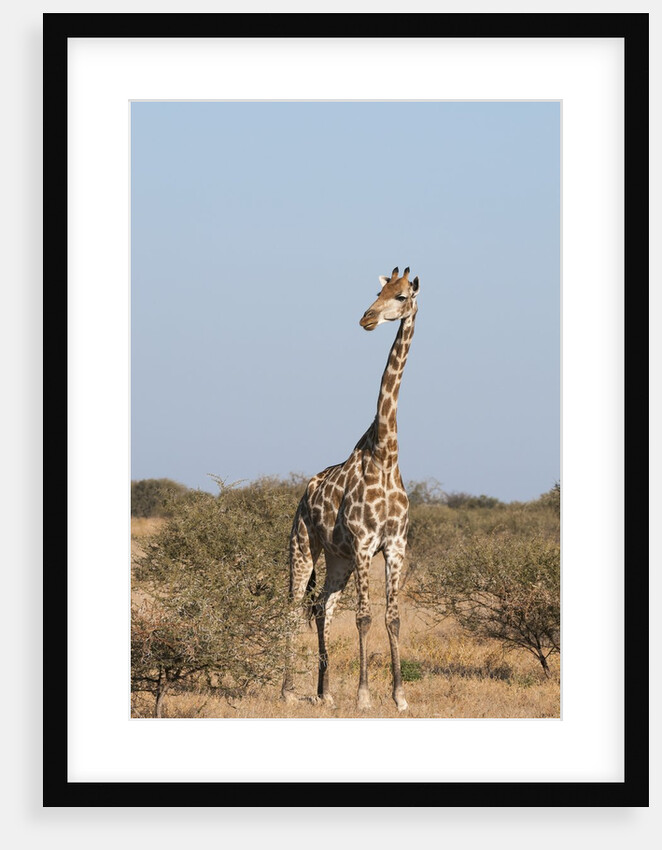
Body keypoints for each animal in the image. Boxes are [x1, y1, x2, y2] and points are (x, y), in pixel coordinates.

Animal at [281, 266, 420, 712]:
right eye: (378, 292)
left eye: (401, 296)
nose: (366, 318)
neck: (386, 454)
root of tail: (303, 494)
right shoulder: (363, 543)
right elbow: (364, 617)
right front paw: (363, 697)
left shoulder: (395, 546)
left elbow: (392, 617)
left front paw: (400, 697)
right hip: (303, 547)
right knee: (292, 608)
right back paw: (288, 691)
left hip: (337, 559)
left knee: (322, 607)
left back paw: (324, 693)